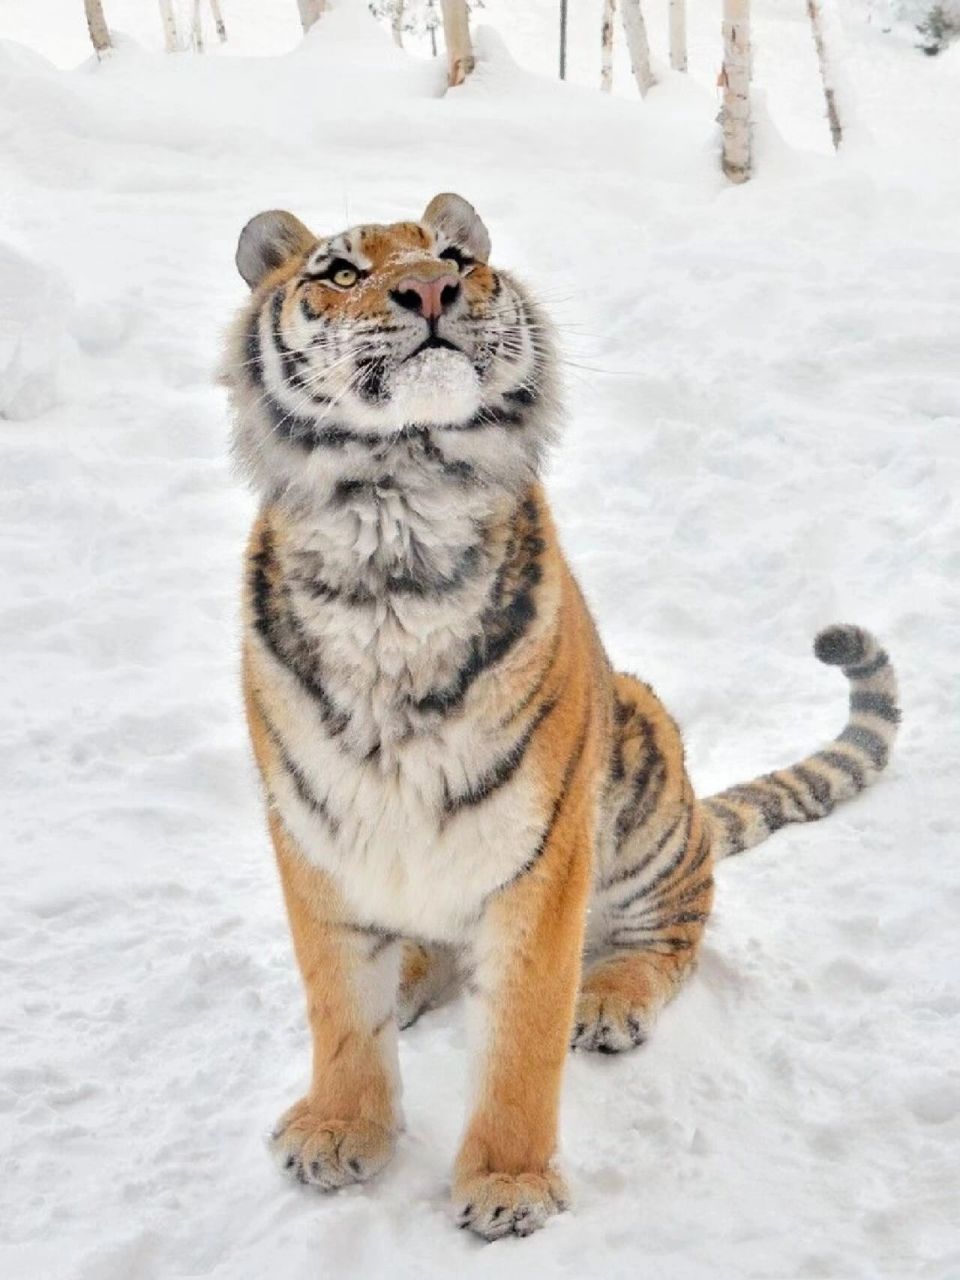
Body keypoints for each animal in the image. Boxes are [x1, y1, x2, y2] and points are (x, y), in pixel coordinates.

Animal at [223, 193, 901, 1240]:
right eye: (340, 272)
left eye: (457, 255)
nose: (433, 287)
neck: (396, 520)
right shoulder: (315, 828)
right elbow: (338, 1004)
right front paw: (340, 1130)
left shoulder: (540, 852)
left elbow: (524, 1034)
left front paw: (508, 1182)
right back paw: (412, 978)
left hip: (648, 791)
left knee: (676, 932)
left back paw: (608, 999)